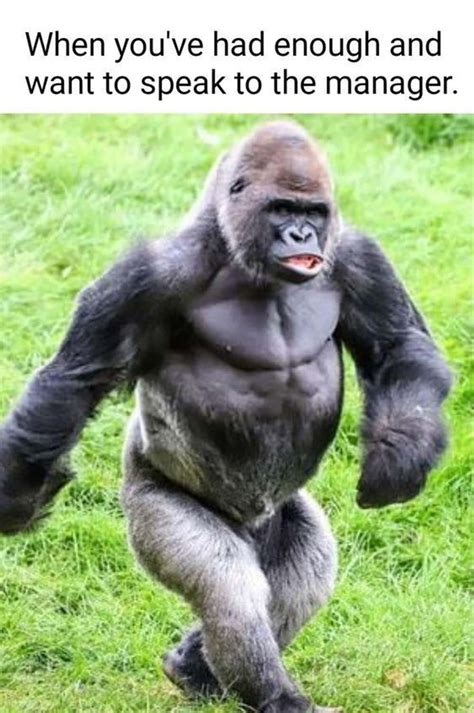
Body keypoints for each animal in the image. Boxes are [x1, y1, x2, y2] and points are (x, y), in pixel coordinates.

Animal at [0, 121, 452, 712]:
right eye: (282, 210)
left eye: (314, 213)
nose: (302, 237)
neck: (238, 252)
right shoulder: (149, 275)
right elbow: (77, 378)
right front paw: (17, 497)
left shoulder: (358, 255)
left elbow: (398, 347)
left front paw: (397, 459)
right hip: (149, 504)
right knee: (230, 589)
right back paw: (275, 695)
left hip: (283, 514)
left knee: (302, 576)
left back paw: (195, 666)